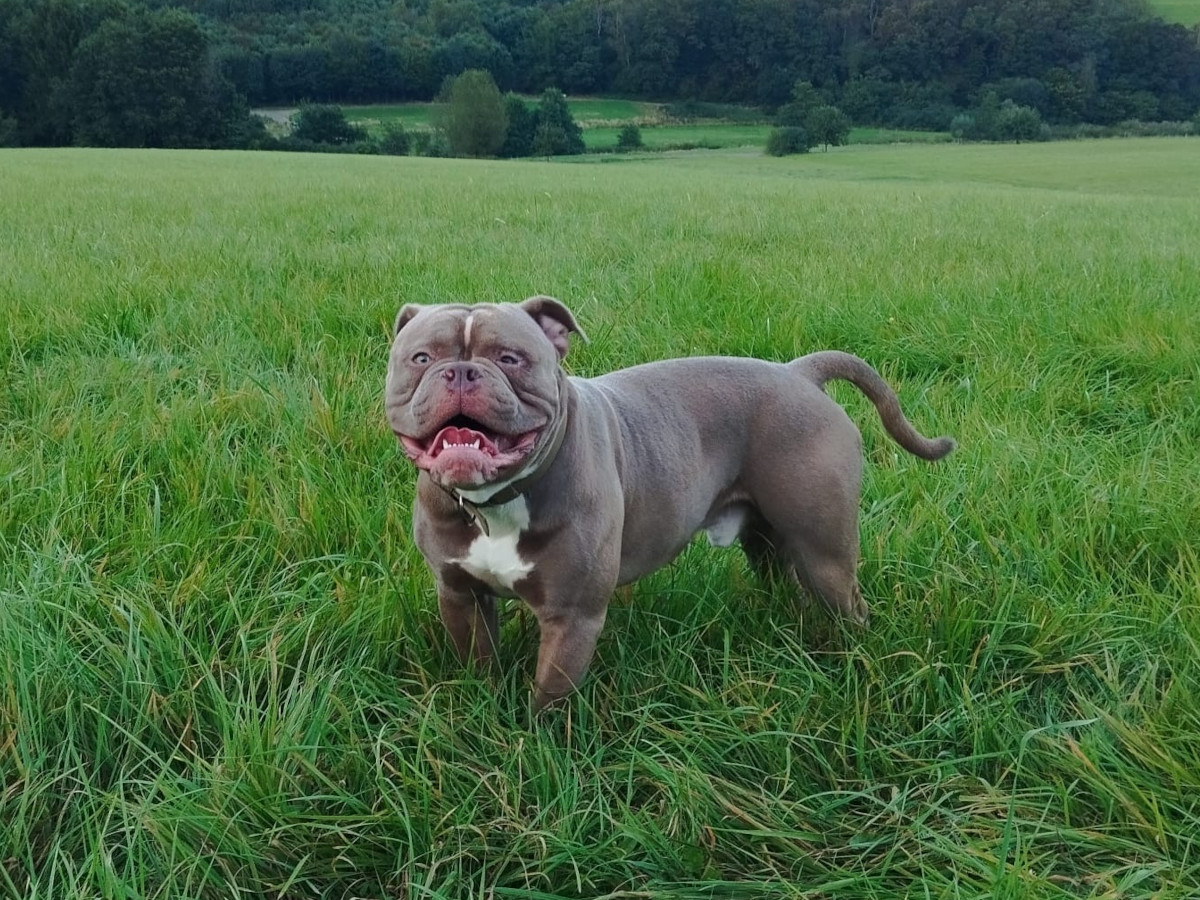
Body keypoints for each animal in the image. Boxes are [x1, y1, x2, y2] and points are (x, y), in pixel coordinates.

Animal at [384, 297, 955, 710]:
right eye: (421, 358)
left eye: (509, 358)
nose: (461, 372)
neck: (496, 502)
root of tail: (798, 373)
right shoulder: (460, 596)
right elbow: (479, 661)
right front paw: (483, 708)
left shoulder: (572, 615)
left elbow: (549, 694)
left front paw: (538, 743)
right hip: (769, 541)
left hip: (826, 552)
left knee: (846, 602)